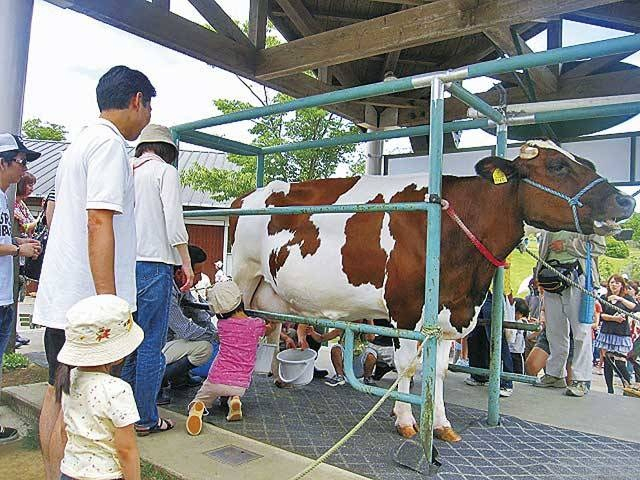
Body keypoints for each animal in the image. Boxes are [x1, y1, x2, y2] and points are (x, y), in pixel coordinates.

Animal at [228, 140, 632, 442]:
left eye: (585, 161)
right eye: (557, 167)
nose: (625, 200)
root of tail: (245, 196)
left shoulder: (453, 314)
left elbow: (436, 371)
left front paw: (439, 424)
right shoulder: (405, 309)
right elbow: (409, 367)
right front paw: (407, 420)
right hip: (239, 277)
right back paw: (230, 397)